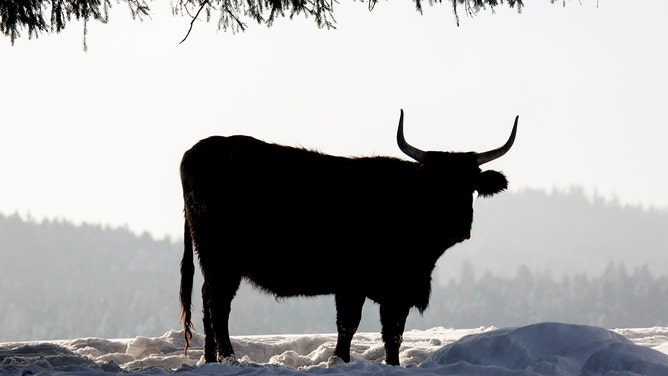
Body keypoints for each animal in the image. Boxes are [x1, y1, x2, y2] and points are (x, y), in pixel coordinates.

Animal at [177, 109, 516, 368]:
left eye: (471, 185)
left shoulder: (398, 289)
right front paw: (340, 360)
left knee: (208, 302)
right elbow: (350, 325)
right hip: (221, 259)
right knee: (217, 305)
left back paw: (212, 358)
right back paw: (227, 357)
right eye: (435, 185)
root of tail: (198, 151)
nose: (458, 226)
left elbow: (393, 331)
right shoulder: (354, 283)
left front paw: (392, 364)